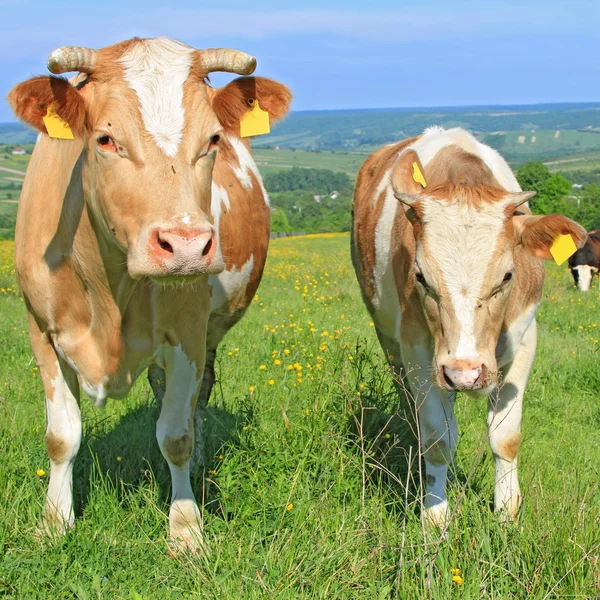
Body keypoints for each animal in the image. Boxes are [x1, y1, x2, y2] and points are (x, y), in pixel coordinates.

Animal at [8, 37, 290, 552]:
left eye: (212, 140)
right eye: (105, 140)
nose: (187, 245)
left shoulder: (187, 334)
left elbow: (176, 435)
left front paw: (186, 529)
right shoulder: (41, 330)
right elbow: (61, 436)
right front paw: (54, 523)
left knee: (195, 404)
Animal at [352, 125, 584, 524]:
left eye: (507, 276)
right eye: (421, 277)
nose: (464, 374)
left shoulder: (524, 341)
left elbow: (506, 437)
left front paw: (506, 514)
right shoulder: (418, 350)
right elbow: (436, 440)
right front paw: (434, 519)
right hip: (391, 342)